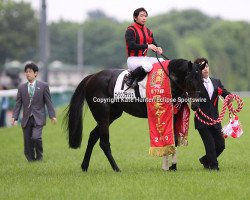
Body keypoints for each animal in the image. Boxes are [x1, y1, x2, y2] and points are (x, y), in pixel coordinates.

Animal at [64, 58, 203, 171]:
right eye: (190, 79)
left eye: (202, 79)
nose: (196, 106)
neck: (169, 80)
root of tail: (92, 76)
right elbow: (168, 140)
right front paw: (167, 166)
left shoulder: (174, 115)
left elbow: (174, 140)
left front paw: (172, 167)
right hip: (103, 114)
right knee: (104, 142)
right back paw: (116, 168)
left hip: (112, 115)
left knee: (93, 136)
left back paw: (85, 166)